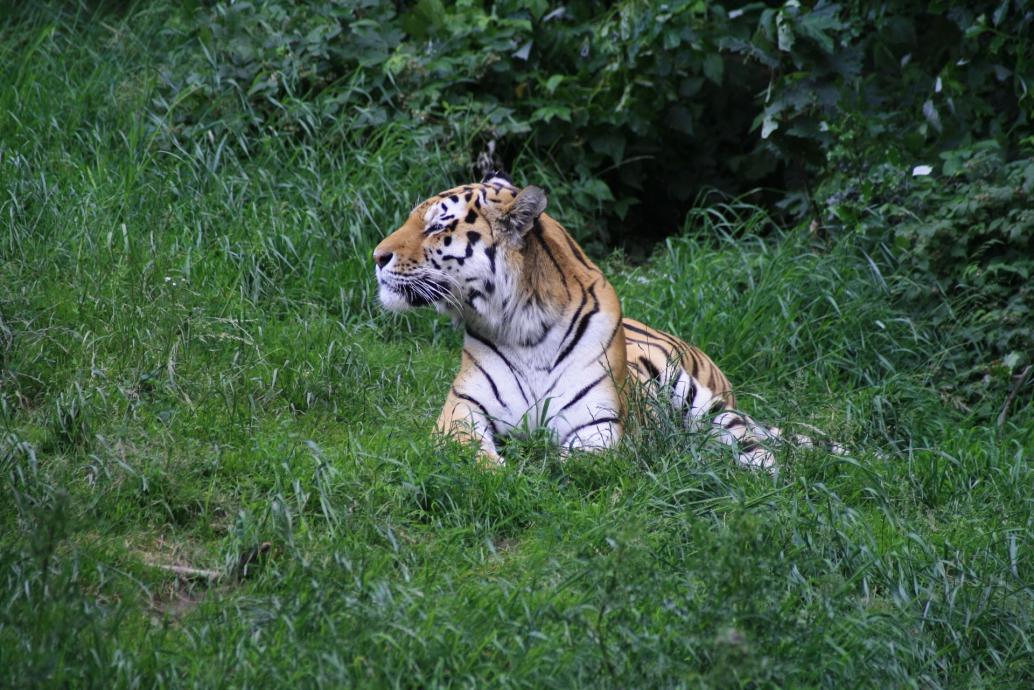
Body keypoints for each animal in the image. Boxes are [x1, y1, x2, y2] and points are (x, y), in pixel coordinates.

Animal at [373, 173, 784, 470]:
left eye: (438, 226)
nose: (376, 256)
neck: (524, 329)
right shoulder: (460, 414)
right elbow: (476, 457)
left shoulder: (596, 426)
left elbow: (570, 465)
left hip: (706, 406)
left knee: (759, 448)